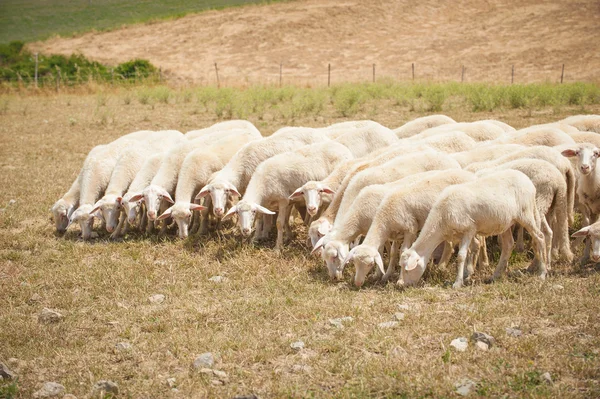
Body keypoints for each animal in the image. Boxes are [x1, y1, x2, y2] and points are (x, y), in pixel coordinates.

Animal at [223, 141, 354, 250]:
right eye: (237, 213)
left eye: (252, 212)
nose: (245, 230)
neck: (262, 182)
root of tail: (343, 148)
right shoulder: (272, 203)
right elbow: (262, 219)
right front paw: (256, 239)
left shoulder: (283, 201)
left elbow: (279, 222)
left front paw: (277, 247)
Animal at [340, 169, 476, 288]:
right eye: (355, 263)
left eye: (370, 264)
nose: (357, 283)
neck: (385, 215)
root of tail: (468, 174)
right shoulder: (395, 233)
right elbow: (393, 252)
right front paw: (386, 275)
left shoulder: (410, 229)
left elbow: (402, 252)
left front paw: (399, 279)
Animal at [398, 170, 548, 290]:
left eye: (406, 270)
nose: (401, 285)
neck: (441, 219)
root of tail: (527, 181)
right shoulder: (460, 233)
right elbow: (470, 250)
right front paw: (466, 275)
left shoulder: (469, 229)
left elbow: (461, 255)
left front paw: (457, 282)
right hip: (505, 221)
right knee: (508, 245)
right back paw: (494, 276)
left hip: (526, 214)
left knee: (539, 237)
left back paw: (542, 273)